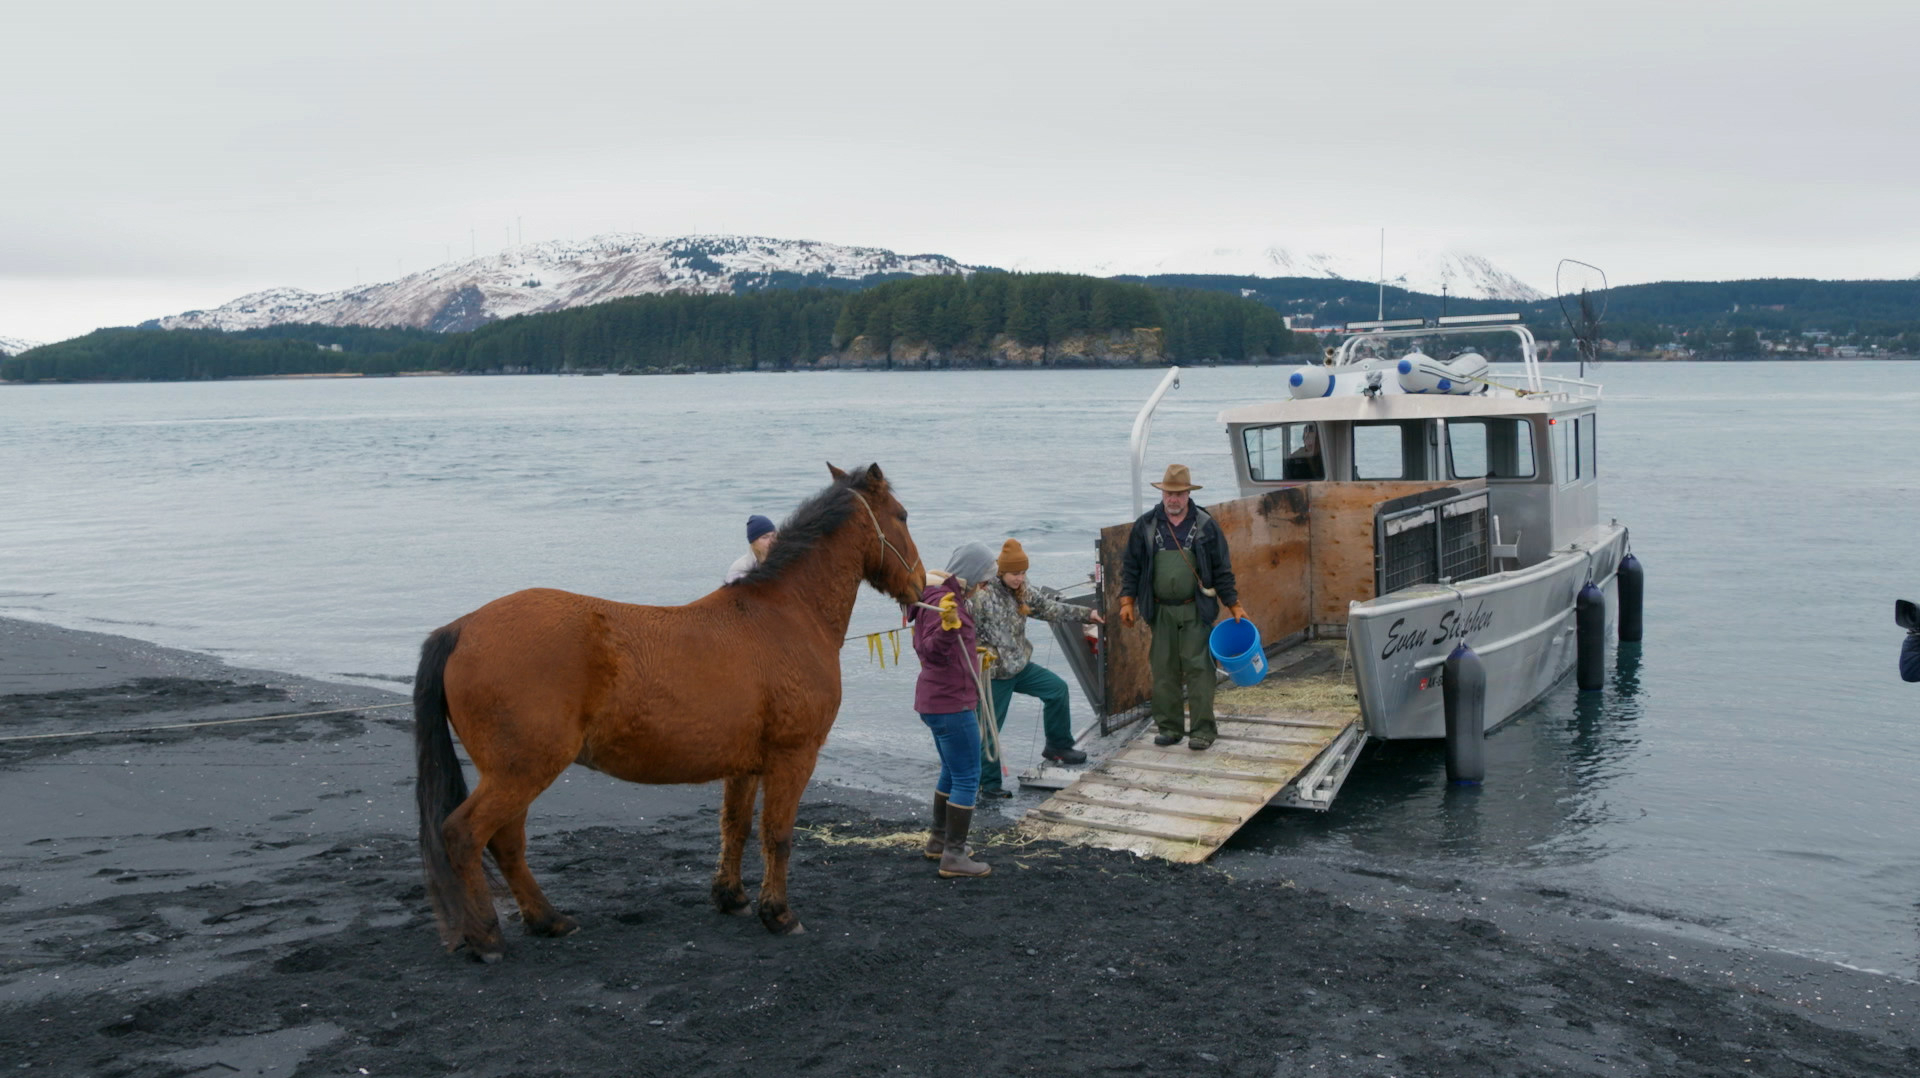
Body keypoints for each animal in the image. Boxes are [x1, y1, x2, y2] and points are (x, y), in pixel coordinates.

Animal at [412, 463, 924, 960]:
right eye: (901, 515)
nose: (920, 584)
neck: (786, 615)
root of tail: (461, 628)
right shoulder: (793, 757)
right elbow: (777, 834)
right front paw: (778, 914)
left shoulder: (745, 766)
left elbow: (734, 826)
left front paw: (731, 897)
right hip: (521, 772)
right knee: (465, 835)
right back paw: (487, 939)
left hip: (517, 774)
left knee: (506, 842)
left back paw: (548, 920)